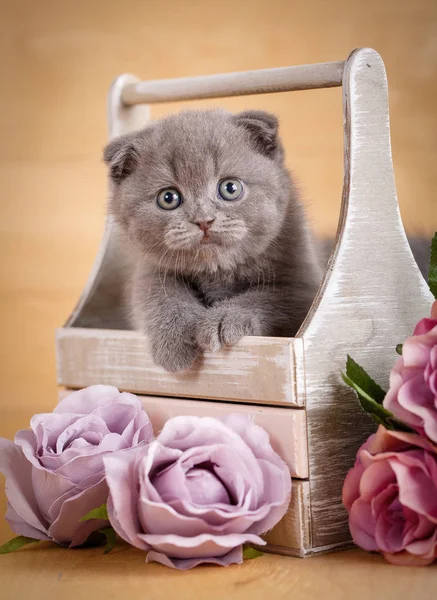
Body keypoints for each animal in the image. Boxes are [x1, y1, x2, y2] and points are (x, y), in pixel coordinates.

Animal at [104, 108, 322, 370]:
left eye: (230, 188)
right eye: (168, 198)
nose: (203, 220)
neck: (218, 269)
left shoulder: (303, 285)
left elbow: (267, 296)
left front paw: (224, 319)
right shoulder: (150, 267)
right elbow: (158, 294)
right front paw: (175, 340)